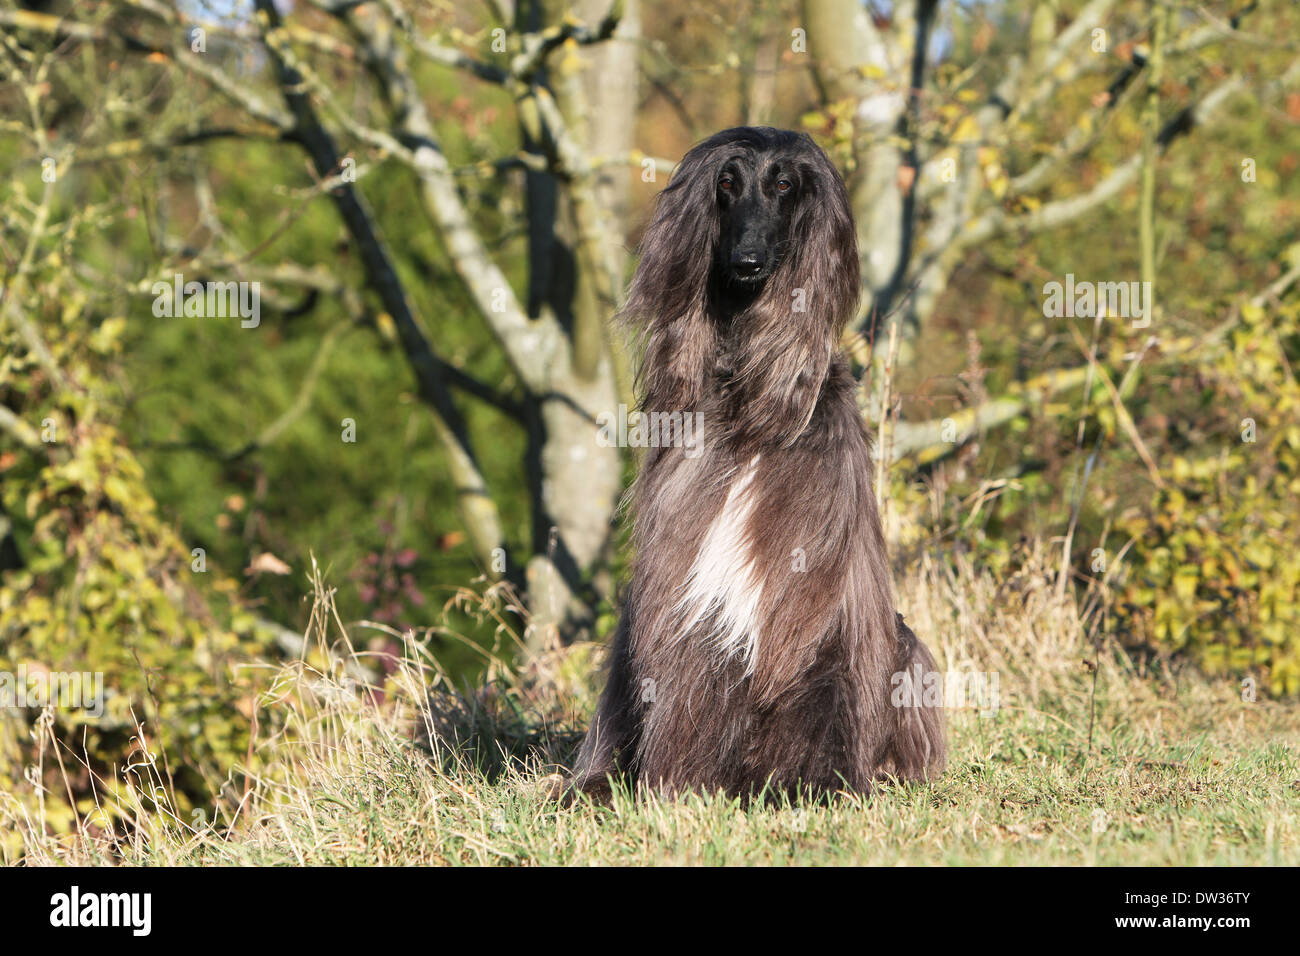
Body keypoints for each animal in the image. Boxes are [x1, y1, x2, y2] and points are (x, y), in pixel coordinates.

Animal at [569, 125, 946, 801]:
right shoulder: (679, 589)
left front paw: (816, 786)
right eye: (726, 182)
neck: (743, 406)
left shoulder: (812, 593)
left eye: (784, 184)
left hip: (903, 648)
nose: (746, 263)